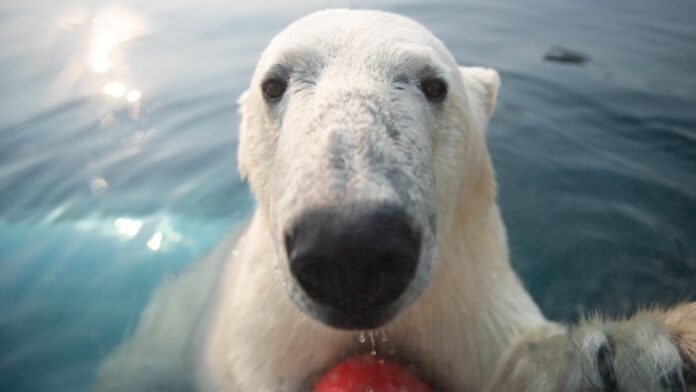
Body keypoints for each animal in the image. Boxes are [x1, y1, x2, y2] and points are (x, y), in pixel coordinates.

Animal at [95, 9, 692, 392]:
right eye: (274, 84)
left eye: (434, 85)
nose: (350, 249)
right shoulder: (252, 338)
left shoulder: (470, 305)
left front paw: (627, 356)